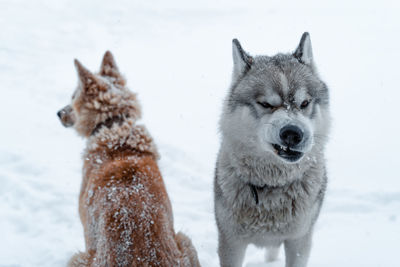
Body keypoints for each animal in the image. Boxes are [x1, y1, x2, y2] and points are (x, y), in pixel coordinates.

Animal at [57, 51, 200, 266]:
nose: (58, 113)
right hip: (186, 242)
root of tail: (143, 260)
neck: (114, 129)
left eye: (73, 96)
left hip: (78, 258)